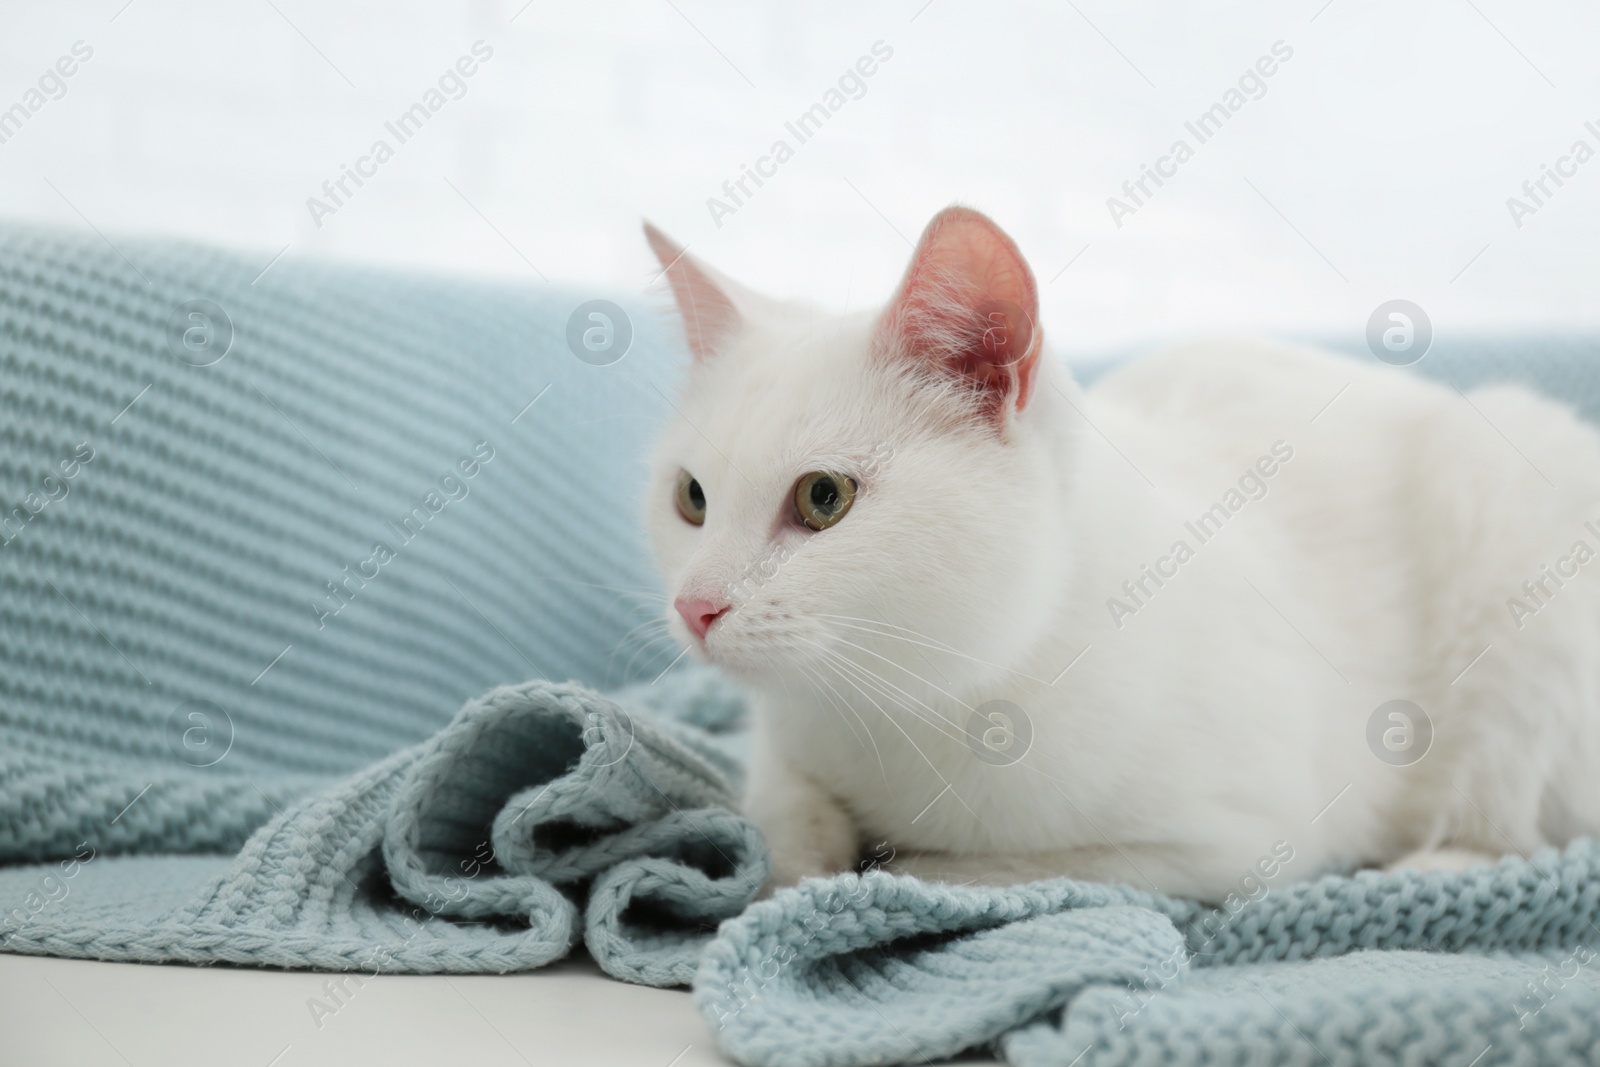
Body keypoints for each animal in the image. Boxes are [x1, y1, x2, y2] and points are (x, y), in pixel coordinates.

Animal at [643, 202, 1600, 902]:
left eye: (823, 498)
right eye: (691, 498)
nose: (695, 605)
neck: (906, 703)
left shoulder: (1236, 839)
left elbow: (970, 869)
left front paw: (860, 877)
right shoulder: (783, 742)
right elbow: (785, 817)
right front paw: (793, 867)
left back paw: (1436, 867)